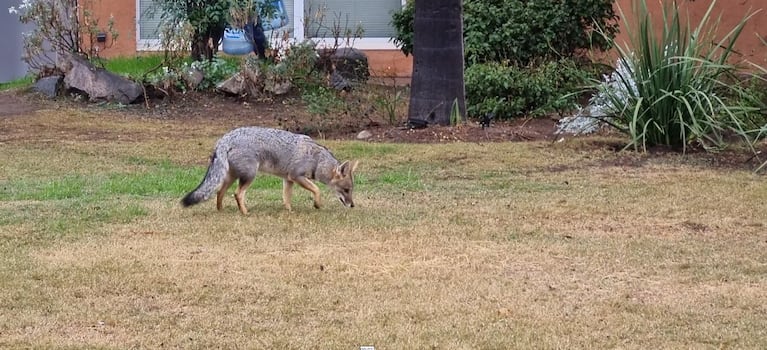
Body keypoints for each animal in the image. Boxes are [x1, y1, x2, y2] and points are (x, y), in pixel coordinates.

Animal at [182, 126, 358, 213]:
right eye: (346, 190)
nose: (352, 205)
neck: (317, 160)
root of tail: (226, 138)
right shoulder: (297, 176)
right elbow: (317, 189)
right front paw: (317, 204)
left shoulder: (288, 179)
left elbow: (286, 198)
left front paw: (289, 211)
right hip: (250, 176)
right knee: (237, 194)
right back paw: (245, 212)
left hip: (231, 176)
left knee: (219, 192)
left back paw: (221, 211)